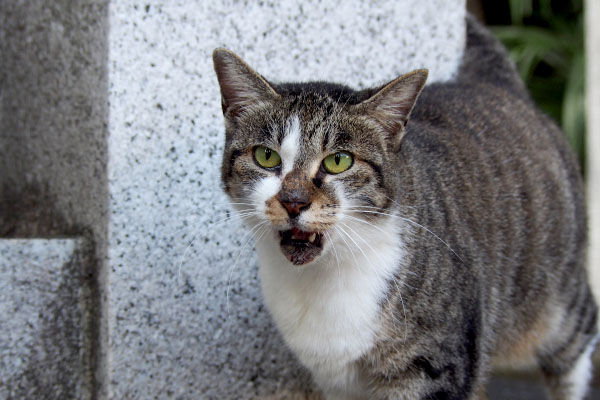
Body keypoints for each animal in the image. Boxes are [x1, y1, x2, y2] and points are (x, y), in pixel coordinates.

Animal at [213, 14, 596, 400]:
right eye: (266, 156)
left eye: (338, 161)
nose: (293, 201)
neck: (322, 279)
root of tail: (500, 86)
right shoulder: (336, 381)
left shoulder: (434, 366)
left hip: (558, 303)